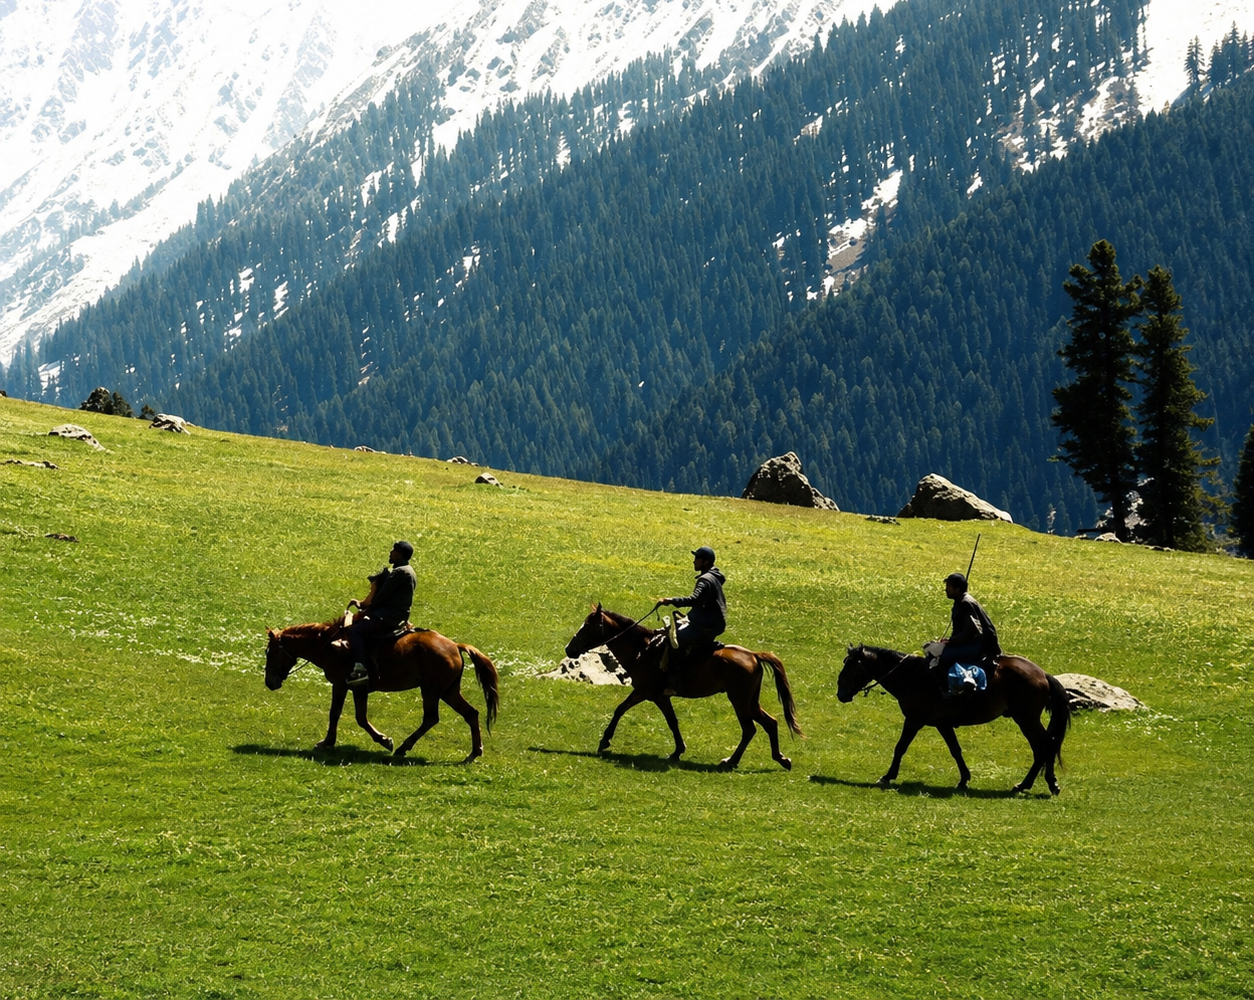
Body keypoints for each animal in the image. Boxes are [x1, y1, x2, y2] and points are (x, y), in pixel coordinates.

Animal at [264, 619, 500, 763]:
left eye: (270, 652)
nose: (269, 682)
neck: (330, 646)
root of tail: (455, 646)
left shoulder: (344, 685)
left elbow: (344, 715)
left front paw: (383, 740)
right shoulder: (354, 689)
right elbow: (351, 716)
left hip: (433, 691)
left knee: (433, 717)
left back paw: (404, 748)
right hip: (447, 691)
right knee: (469, 714)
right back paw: (473, 753)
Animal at [564, 605, 802, 769]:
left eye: (587, 627)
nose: (569, 649)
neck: (643, 649)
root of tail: (753, 655)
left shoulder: (647, 693)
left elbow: (623, 710)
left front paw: (605, 740)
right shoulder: (658, 696)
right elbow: (669, 720)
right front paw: (678, 751)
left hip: (739, 700)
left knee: (749, 729)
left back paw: (731, 760)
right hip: (750, 700)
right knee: (770, 723)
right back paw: (780, 759)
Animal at [837, 644, 1071, 795]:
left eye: (850, 666)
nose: (841, 693)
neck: (912, 677)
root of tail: (1043, 674)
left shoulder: (913, 720)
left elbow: (900, 747)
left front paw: (887, 776)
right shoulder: (943, 724)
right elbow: (955, 750)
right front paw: (964, 779)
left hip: (1026, 719)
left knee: (1045, 746)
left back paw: (1043, 784)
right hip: (1025, 720)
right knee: (1042, 748)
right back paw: (1029, 784)